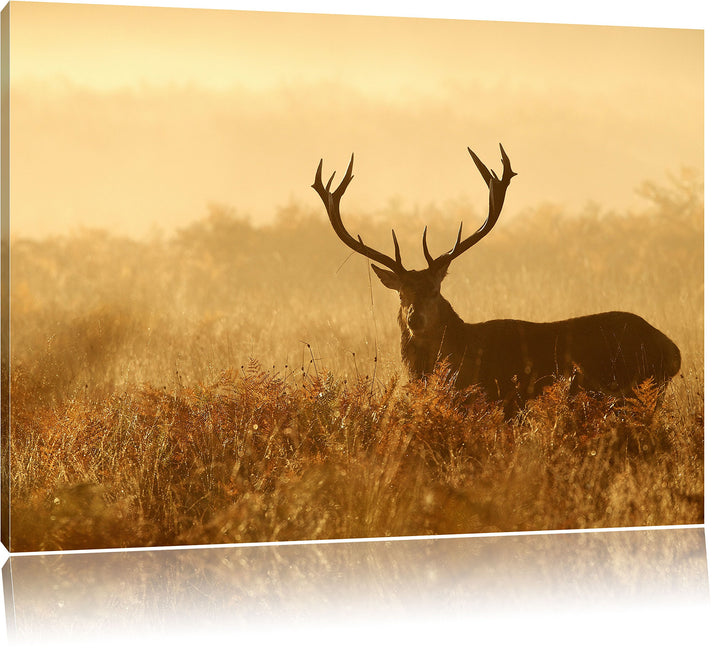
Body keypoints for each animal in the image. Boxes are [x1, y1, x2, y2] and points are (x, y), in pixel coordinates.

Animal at [312, 145, 682, 418]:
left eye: (435, 290)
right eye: (401, 294)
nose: (415, 319)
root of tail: (673, 351)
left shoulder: (500, 400)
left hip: (632, 390)